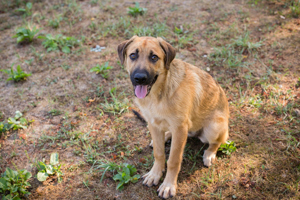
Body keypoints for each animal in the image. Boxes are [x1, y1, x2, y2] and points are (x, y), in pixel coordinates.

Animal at [117, 36, 230, 198]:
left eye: (154, 57)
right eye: (133, 55)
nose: (140, 78)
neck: (157, 94)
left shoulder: (180, 127)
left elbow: (173, 160)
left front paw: (168, 185)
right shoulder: (153, 123)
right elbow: (158, 153)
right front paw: (155, 174)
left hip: (214, 127)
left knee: (217, 142)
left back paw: (209, 154)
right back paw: (165, 136)